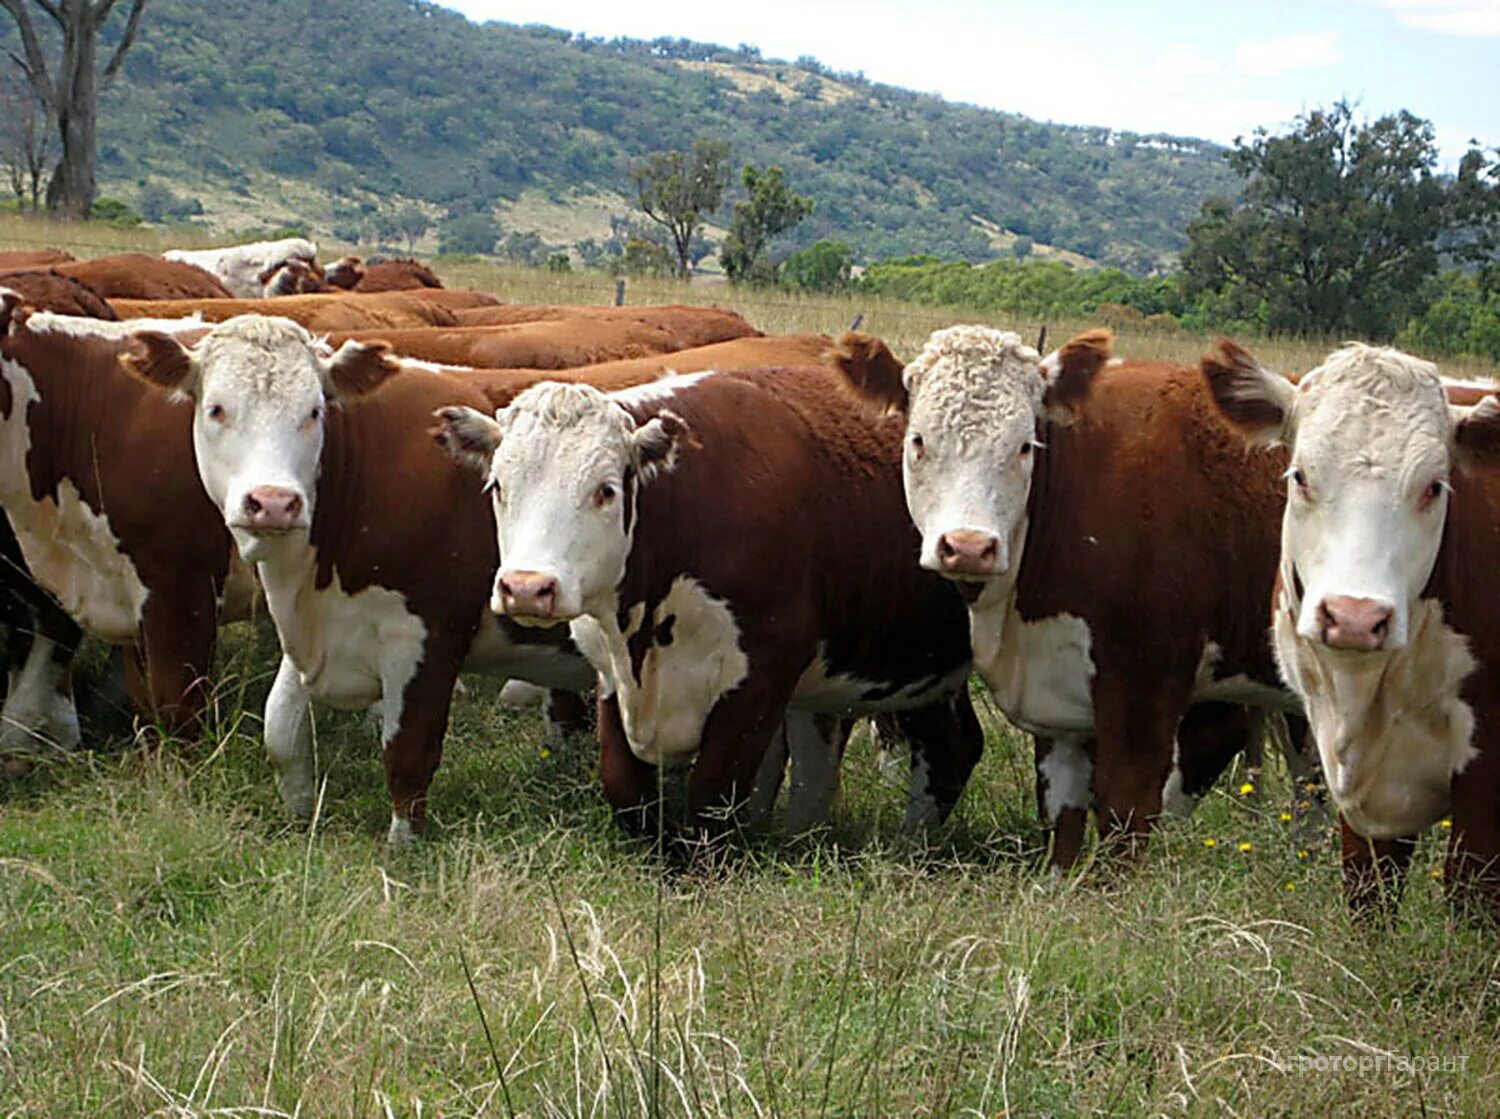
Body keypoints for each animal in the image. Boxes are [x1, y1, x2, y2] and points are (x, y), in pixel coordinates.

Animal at [432, 351, 984, 840]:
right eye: (498, 485)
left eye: (606, 490)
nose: (527, 587)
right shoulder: (611, 671)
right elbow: (626, 790)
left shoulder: (760, 677)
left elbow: (711, 797)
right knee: (951, 746)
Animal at [840, 322, 1308, 864]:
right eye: (918, 440)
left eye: (1025, 446)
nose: (969, 547)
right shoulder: (1057, 703)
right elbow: (1061, 817)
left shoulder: (1145, 689)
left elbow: (1125, 813)